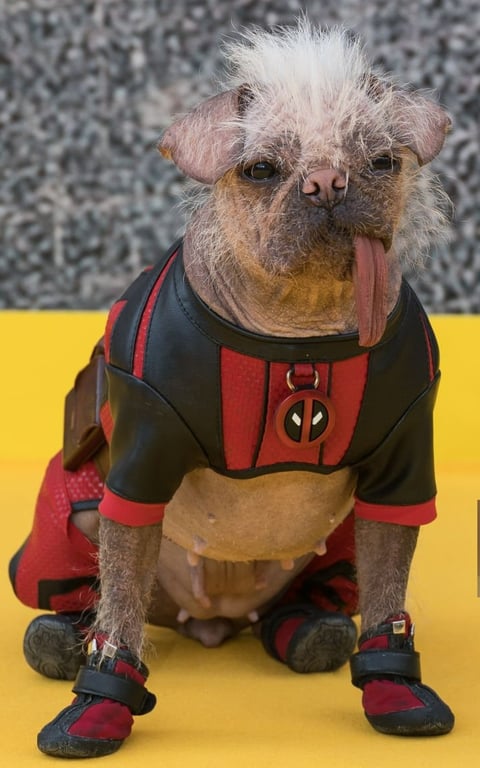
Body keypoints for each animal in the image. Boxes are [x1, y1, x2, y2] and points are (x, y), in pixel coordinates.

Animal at [10, 19, 454, 756]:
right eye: (261, 170)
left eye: (382, 162)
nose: (327, 181)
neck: (301, 328)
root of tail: (211, 618)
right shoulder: (138, 477)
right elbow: (120, 604)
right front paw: (99, 704)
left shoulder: (400, 482)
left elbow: (389, 596)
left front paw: (395, 691)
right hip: (67, 520)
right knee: (85, 589)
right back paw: (61, 640)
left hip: (341, 541)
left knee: (317, 599)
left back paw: (307, 630)